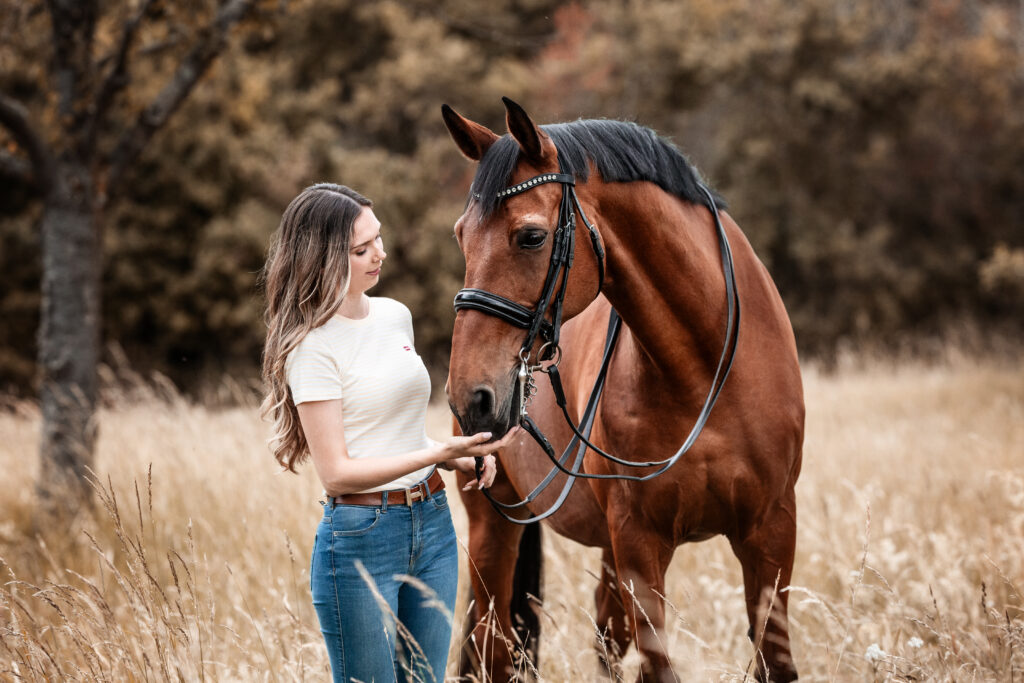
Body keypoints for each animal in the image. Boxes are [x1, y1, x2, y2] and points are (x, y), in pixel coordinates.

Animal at [444, 100, 802, 683]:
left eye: (531, 237)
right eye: (461, 235)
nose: (471, 399)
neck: (702, 370)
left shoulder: (771, 532)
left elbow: (774, 660)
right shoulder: (639, 543)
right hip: (493, 531)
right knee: (492, 646)